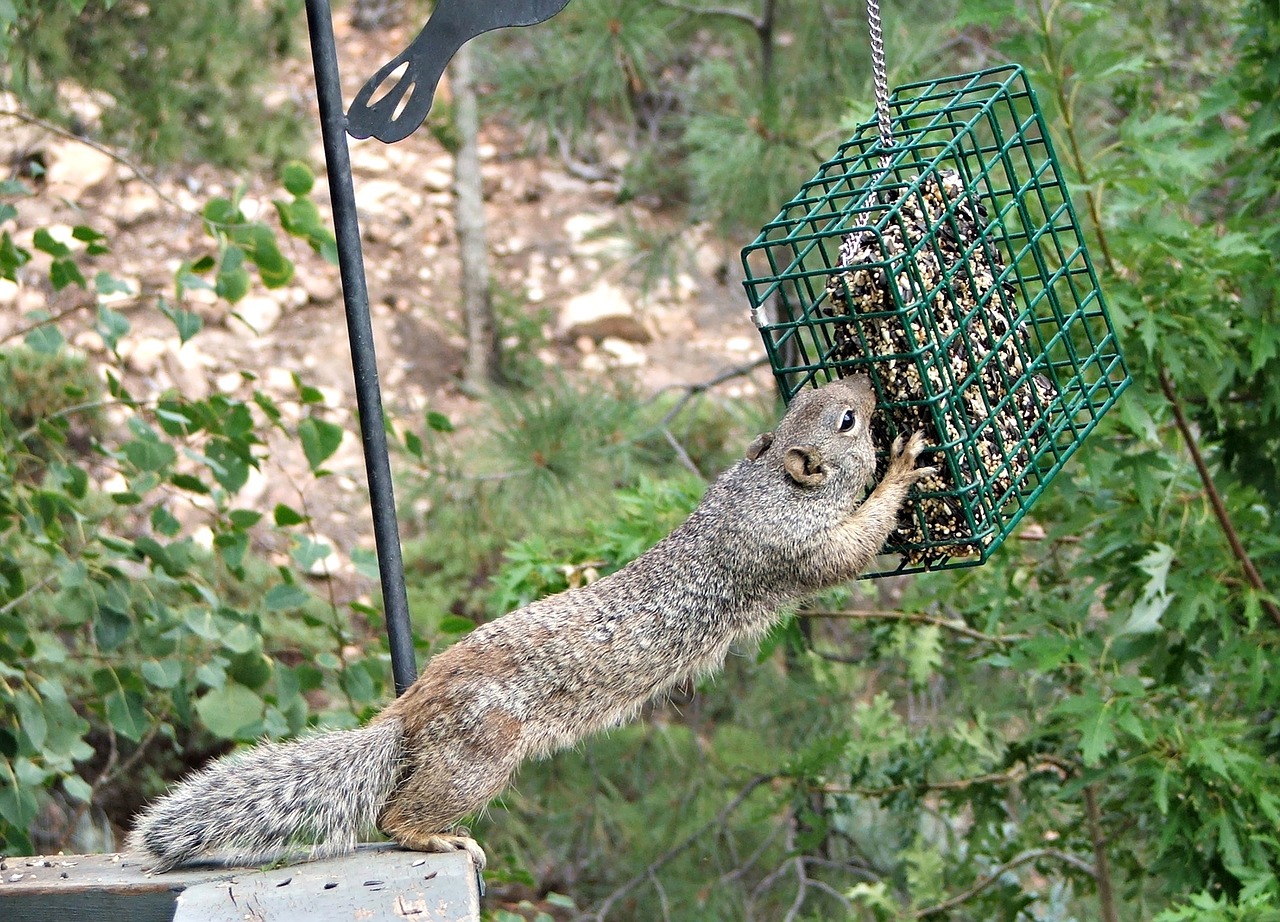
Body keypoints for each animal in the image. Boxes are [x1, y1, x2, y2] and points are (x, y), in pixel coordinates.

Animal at [129, 373, 931, 870]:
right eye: (847, 420)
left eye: (823, 396)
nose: (866, 385)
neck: (763, 488)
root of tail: (408, 716)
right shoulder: (791, 550)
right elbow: (853, 546)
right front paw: (903, 465)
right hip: (480, 754)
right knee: (396, 817)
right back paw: (438, 839)